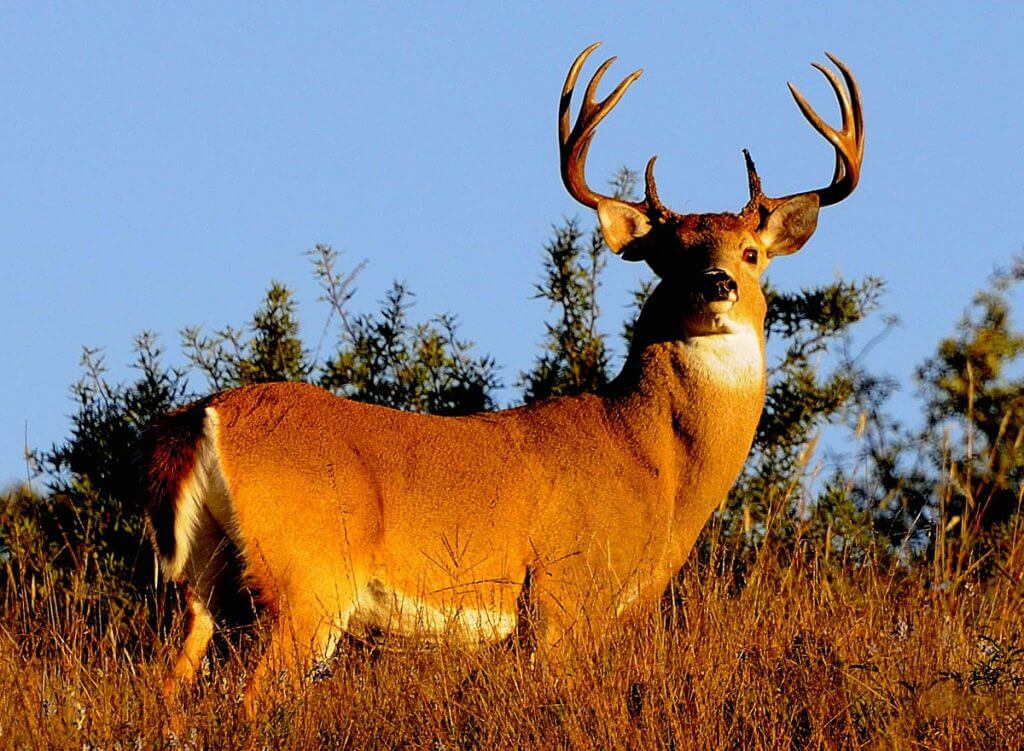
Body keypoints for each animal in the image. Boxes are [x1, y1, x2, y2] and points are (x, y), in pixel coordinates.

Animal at [146, 44, 864, 713]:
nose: (717, 284)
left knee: (171, 688)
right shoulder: (561, 594)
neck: (652, 460)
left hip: (201, 579)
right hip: (311, 578)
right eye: (669, 257)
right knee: (248, 697)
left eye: (751, 252)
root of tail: (205, 416)